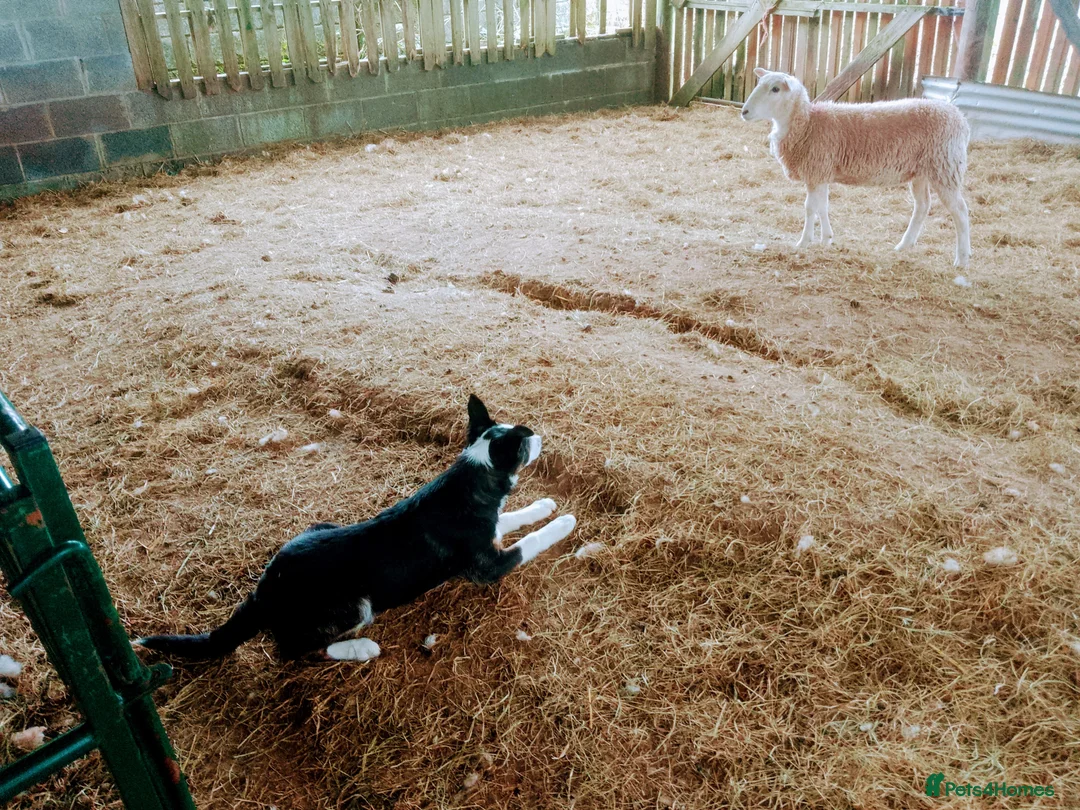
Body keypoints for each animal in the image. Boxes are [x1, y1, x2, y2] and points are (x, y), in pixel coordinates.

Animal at [740, 68, 971, 267]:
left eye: (775, 89)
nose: (744, 111)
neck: (807, 123)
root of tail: (960, 118)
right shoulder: (821, 173)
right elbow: (822, 206)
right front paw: (826, 239)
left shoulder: (816, 170)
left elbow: (810, 208)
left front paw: (804, 242)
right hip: (922, 172)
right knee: (923, 205)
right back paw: (904, 245)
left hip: (945, 167)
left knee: (960, 211)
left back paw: (961, 259)